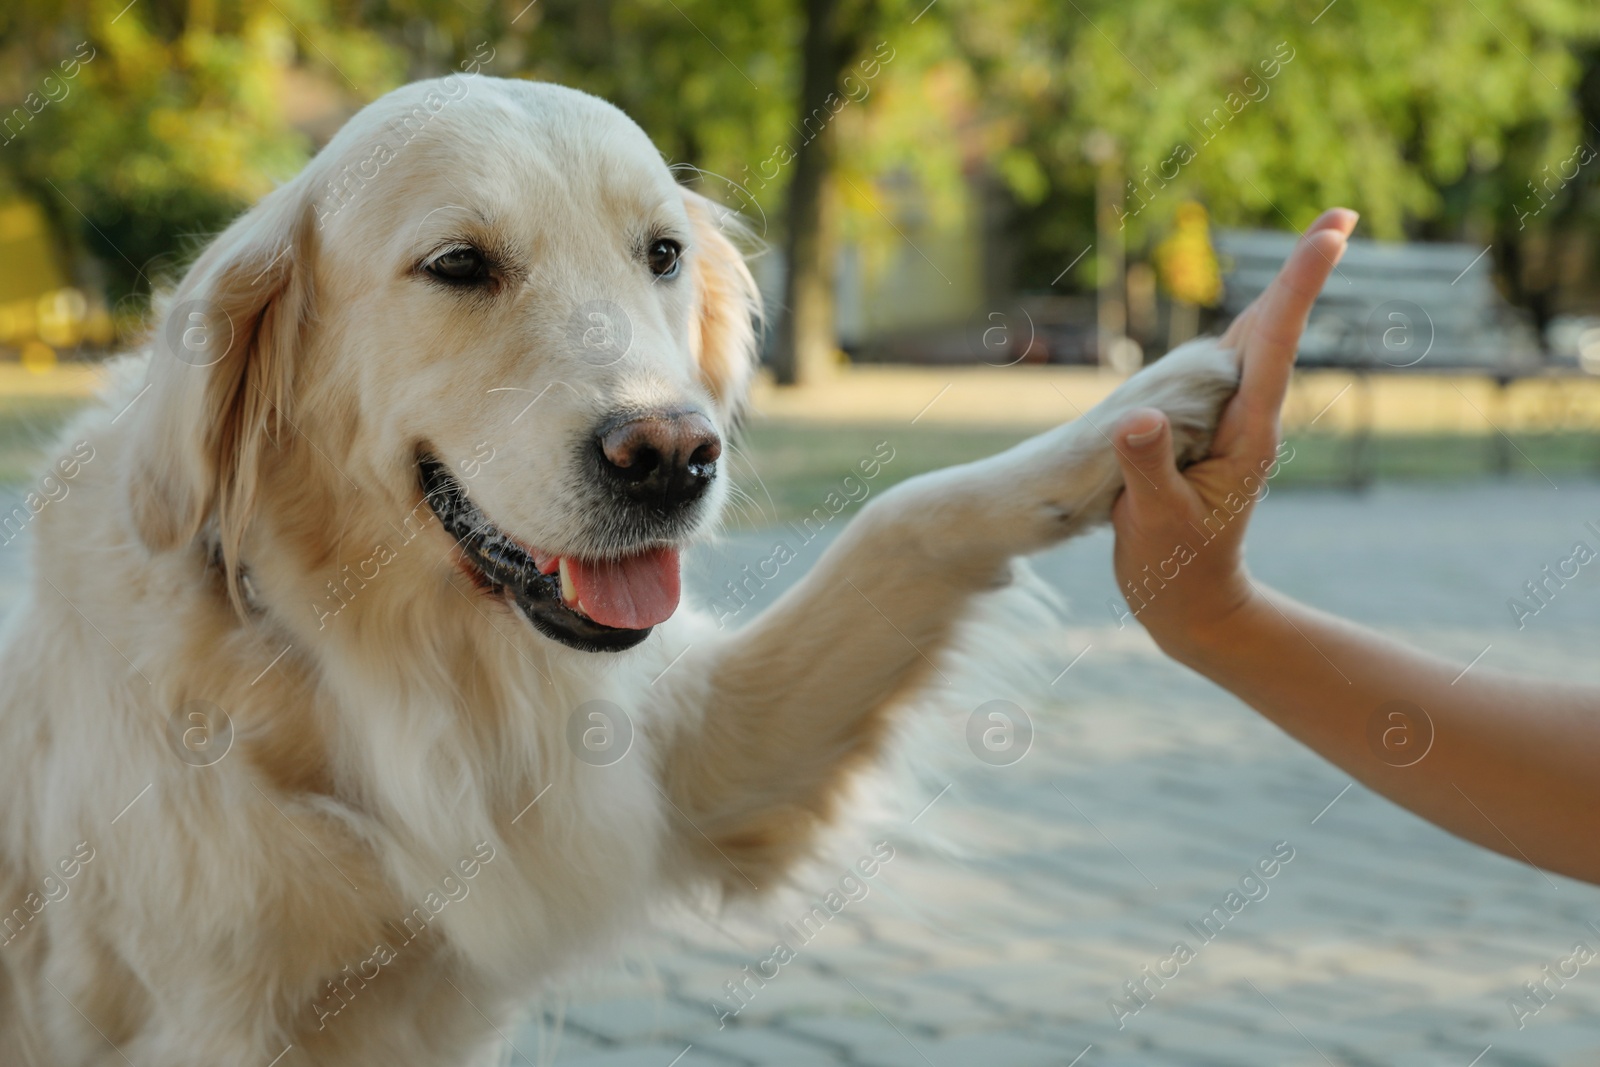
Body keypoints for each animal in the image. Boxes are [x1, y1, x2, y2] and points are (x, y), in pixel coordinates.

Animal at [0, 77, 1235, 1067]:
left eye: (662, 253)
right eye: (458, 264)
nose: (675, 456)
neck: (385, 661)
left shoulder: (697, 758)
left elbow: (904, 514)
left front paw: (1138, 412)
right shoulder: (208, 1015)